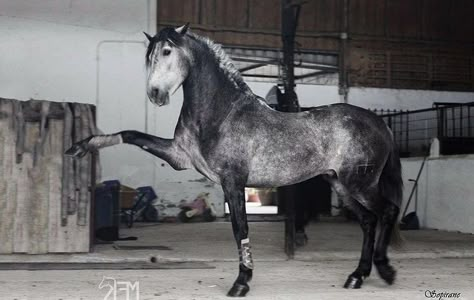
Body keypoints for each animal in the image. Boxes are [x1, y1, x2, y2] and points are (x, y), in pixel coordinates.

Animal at [65, 24, 400, 296]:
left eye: (167, 51)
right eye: (149, 57)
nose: (156, 94)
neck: (221, 113)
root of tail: (378, 123)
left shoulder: (233, 181)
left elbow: (241, 229)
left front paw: (241, 283)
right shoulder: (178, 156)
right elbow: (130, 134)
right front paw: (80, 146)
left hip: (360, 183)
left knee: (386, 212)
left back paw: (385, 270)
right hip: (341, 184)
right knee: (368, 220)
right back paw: (357, 276)